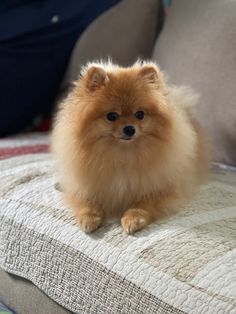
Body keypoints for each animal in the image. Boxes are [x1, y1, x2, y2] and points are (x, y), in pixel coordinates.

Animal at [51, 60, 208, 233]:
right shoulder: (87, 184)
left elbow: (143, 203)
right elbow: (86, 200)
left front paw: (133, 218)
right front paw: (89, 218)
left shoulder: (163, 188)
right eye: (112, 116)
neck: (123, 155)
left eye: (140, 114)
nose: (129, 128)